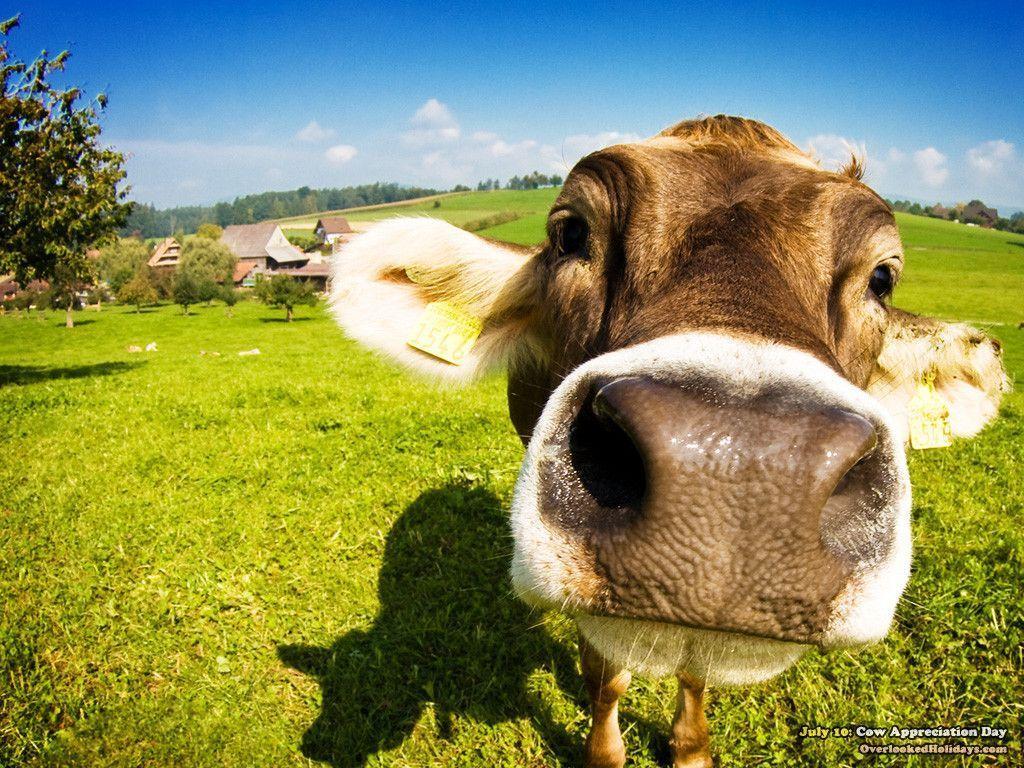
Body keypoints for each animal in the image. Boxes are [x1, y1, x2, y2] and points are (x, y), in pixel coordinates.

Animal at [329, 115, 1008, 767]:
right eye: (571, 234)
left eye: (883, 278)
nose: (739, 465)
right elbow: (605, 676)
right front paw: (605, 754)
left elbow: (695, 672)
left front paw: (691, 749)